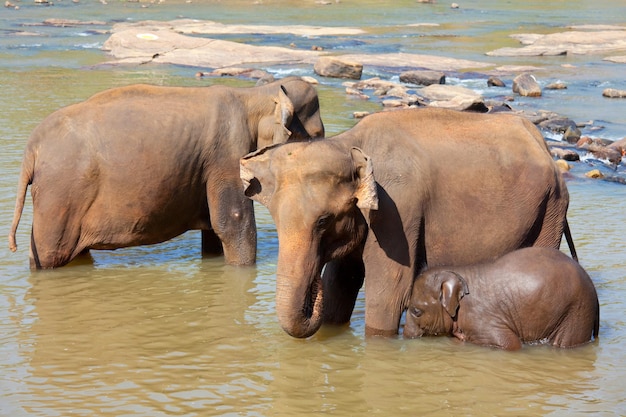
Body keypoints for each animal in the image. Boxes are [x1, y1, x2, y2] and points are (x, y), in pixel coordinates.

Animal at [8, 76, 322, 268]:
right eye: (318, 135)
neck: (254, 95)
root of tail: (31, 150)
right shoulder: (226, 153)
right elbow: (232, 223)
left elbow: (213, 230)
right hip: (59, 195)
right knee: (49, 255)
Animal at [239, 107, 576, 338]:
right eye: (276, 222)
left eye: (323, 221)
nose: (313, 286)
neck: (349, 144)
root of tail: (542, 143)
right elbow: (341, 283)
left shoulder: (398, 210)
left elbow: (389, 295)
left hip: (551, 208)